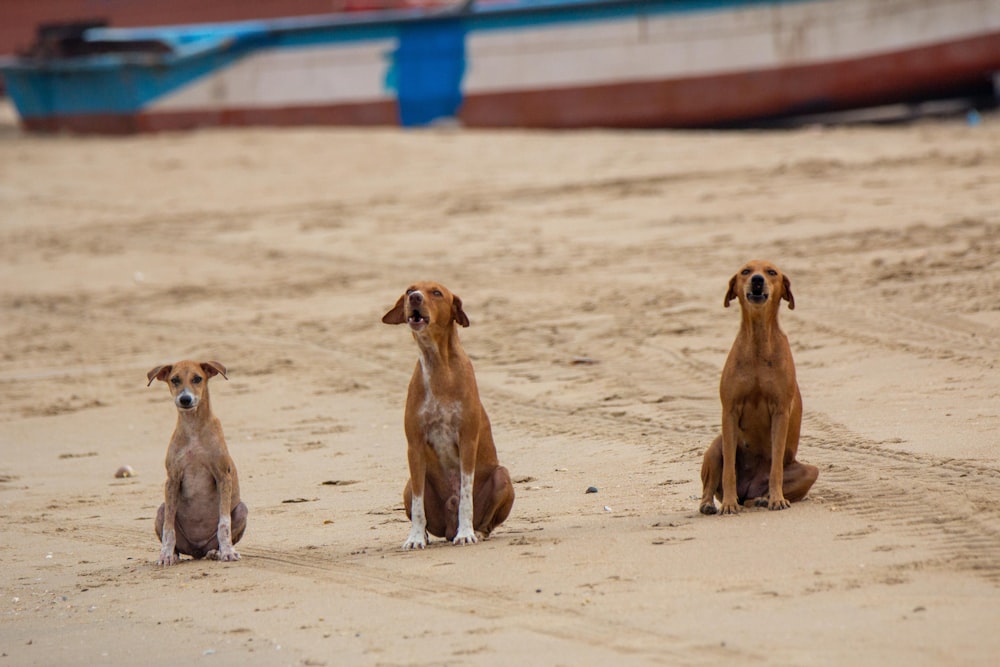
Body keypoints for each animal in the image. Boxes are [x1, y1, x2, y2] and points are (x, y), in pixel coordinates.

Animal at [146, 362, 248, 568]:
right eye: (174, 380)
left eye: (197, 378)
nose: (185, 399)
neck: (193, 426)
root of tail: (197, 551)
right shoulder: (172, 480)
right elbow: (168, 528)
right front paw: (165, 555)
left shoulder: (223, 476)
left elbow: (224, 524)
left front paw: (228, 552)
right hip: (161, 509)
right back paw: (174, 555)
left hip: (242, 510)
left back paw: (216, 552)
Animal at [378, 284, 512, 552]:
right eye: (409, 289)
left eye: (437, 293)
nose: (414, 297)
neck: (437, 364)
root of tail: (449, 528)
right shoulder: (415, 446)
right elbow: (418, 506)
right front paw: (415, 537)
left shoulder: (468, 441)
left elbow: (466, 497)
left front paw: (466, 533)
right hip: (408, 484)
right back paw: (429, 535)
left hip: (503, 476)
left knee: (487, 522)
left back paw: (475, 531)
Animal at [700, 262, 816, 516]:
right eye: (745, 271)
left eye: (772, 272)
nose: (757, 280)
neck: (758, 341)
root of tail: (748, 490)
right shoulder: (730, 411)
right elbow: (729, 469)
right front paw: (729, 503)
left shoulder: (780, 411)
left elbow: (776, 468)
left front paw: (777, 499)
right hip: (715, 446)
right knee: (712, 483)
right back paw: (711, 503)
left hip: (811, 471)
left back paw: (763, 499)